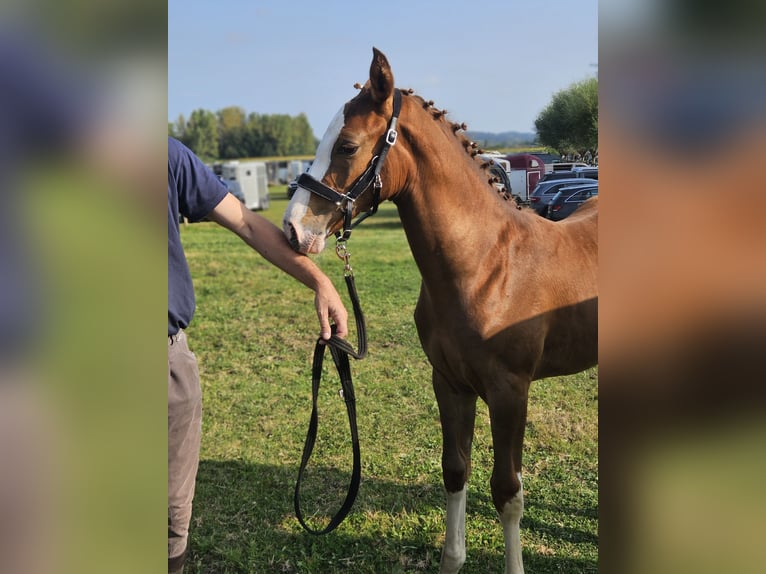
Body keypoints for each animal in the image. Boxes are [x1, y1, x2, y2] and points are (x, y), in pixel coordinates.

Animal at [284, 48, 600, 574]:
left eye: (347, 146)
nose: (293, 230)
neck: (486, 265)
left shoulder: (510, 392)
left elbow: (507, 490)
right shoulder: (449, 383)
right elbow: (455, 470)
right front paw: (453, 558)